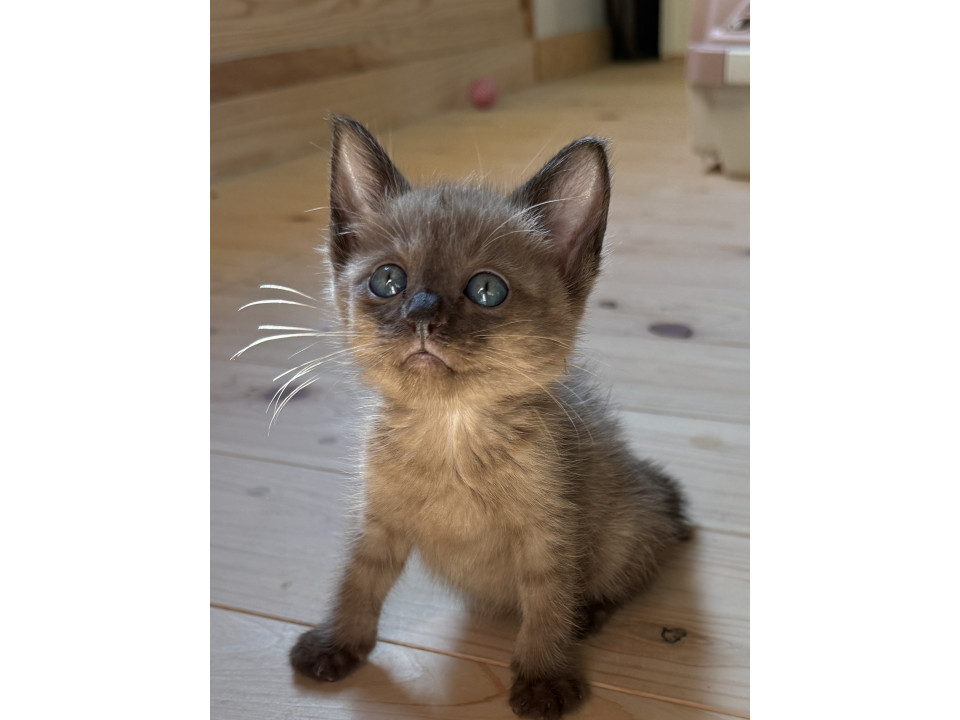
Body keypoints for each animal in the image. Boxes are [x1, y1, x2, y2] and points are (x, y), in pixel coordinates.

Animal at [289, 116, 692, 719]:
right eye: (387, 281)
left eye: (486, 290)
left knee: (627, 574)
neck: (451, 432)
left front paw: (544, 676)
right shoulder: (378, 522)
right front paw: (338, 643)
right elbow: (357, 581)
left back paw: (588, 614)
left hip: (627, 526)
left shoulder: (549, 534)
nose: (422, 314)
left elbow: (547, 605)